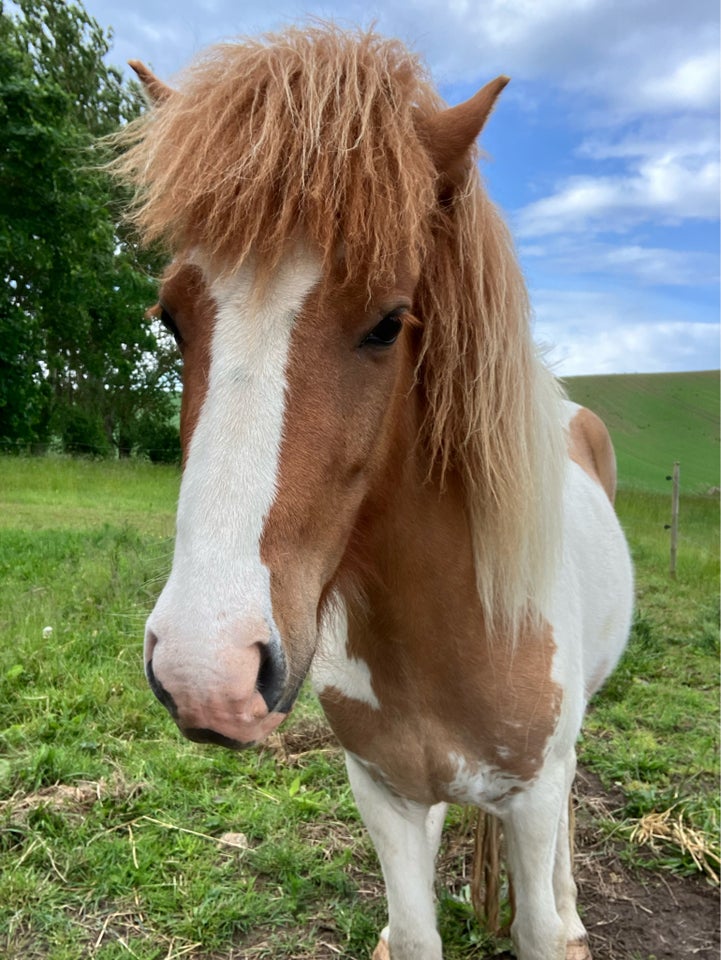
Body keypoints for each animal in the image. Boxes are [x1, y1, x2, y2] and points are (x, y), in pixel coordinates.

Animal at [111, 28, 632, 960]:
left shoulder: (532, 795)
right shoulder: (380, 790)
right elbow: (416, 928)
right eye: (170, 318)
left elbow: (538, 915)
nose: (206, 672)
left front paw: (560, 920)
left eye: (391, 322)